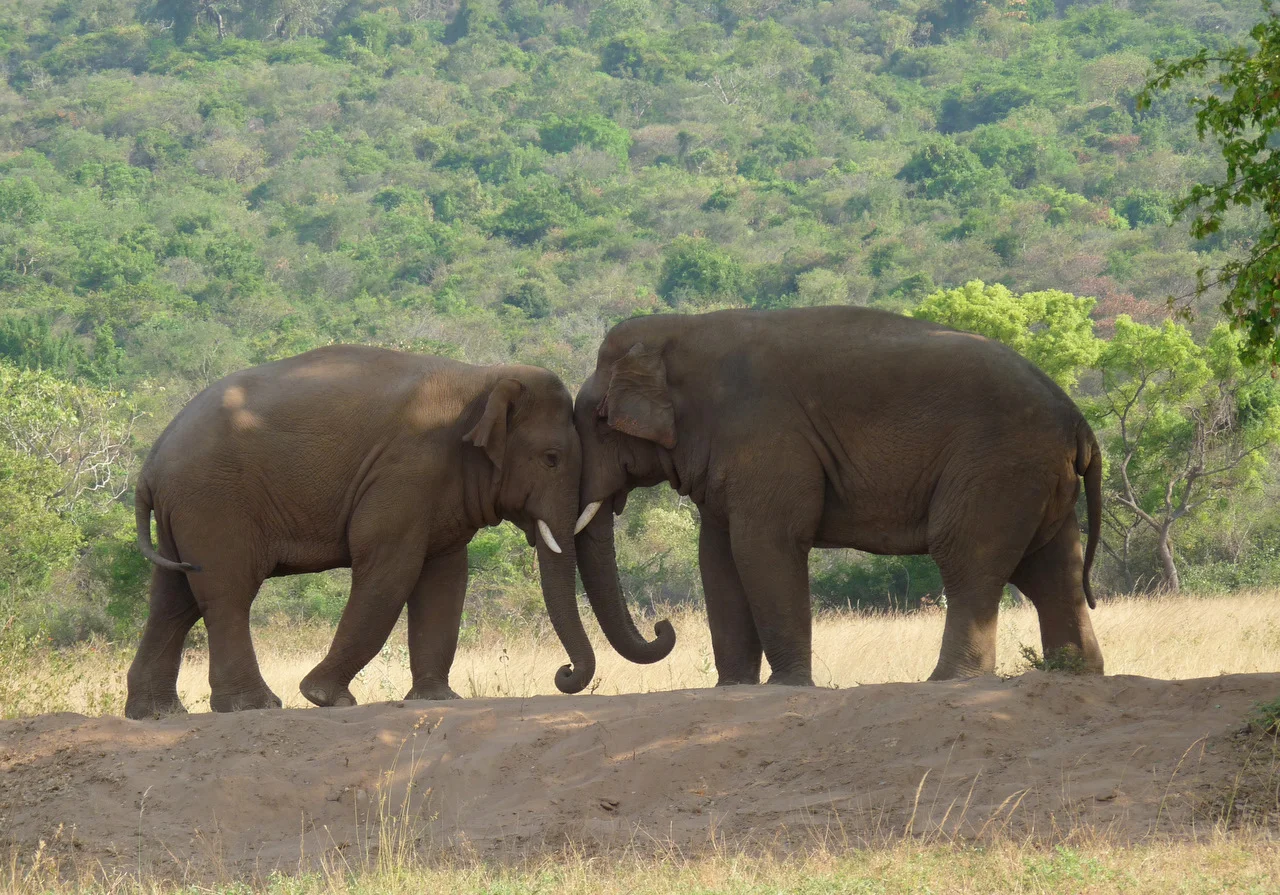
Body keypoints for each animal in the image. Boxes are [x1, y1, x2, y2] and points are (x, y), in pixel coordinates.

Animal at [125, 345, 674, 720]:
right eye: (552, 458)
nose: (563, 675)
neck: (482, 377)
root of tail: (151, 465)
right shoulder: (408, 470)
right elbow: (391, 569)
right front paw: (326, 698)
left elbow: (445, 579)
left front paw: (438, 698)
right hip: (214, 502)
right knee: (226, 593)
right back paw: (256, 706)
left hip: (187, 512)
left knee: (173, 599)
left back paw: (156, 714)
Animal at [571, 306, 1104, 687]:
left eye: (598, 419)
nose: (663, 628)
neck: (683, 327)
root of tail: (1077, 420)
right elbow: (717, 557)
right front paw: (733, 688)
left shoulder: (765, 435)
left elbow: (765, 545)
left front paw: (787, 687)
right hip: (1037, 477)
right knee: (1052, 571)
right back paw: (1074, 674)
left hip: (998, 467)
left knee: (967, 557)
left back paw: (948, 682)